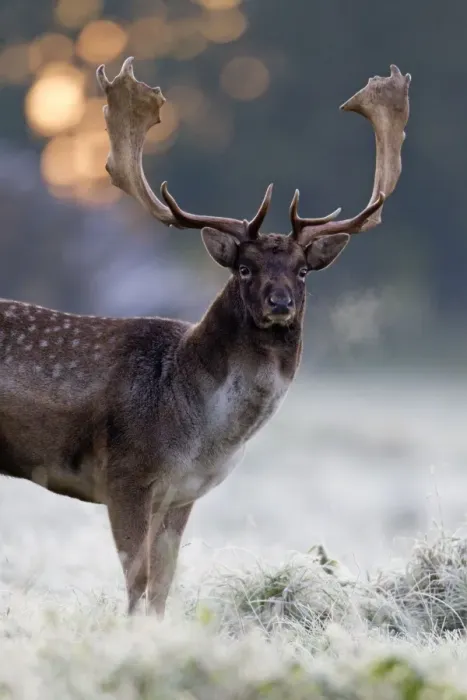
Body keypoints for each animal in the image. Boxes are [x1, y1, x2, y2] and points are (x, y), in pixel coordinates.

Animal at [0, 58, 410, 616]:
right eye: (244, 267)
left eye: (303, 271)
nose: (279, 303)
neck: (203, 432)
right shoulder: (125, 476)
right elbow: (137, 581)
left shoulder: (183, 493)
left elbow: (163, 584)